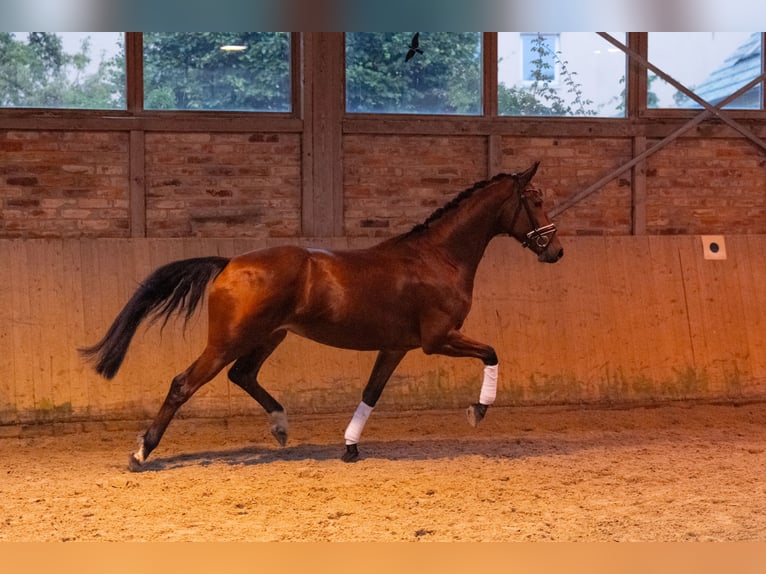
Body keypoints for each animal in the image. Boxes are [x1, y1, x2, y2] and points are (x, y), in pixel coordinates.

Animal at [82, 163, 564, 472]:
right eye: (534, 199)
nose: (556, 251)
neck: (438, 258)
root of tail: (229, 263)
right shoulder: (439, 339)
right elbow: (491, 352)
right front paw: (477, 410)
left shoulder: (396, 347)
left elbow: (371, 392)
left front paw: (350, 447)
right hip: (228, 341)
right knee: (184, 384)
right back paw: (141, 454)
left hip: (268, 336)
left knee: (243, 375)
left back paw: (280, 426)